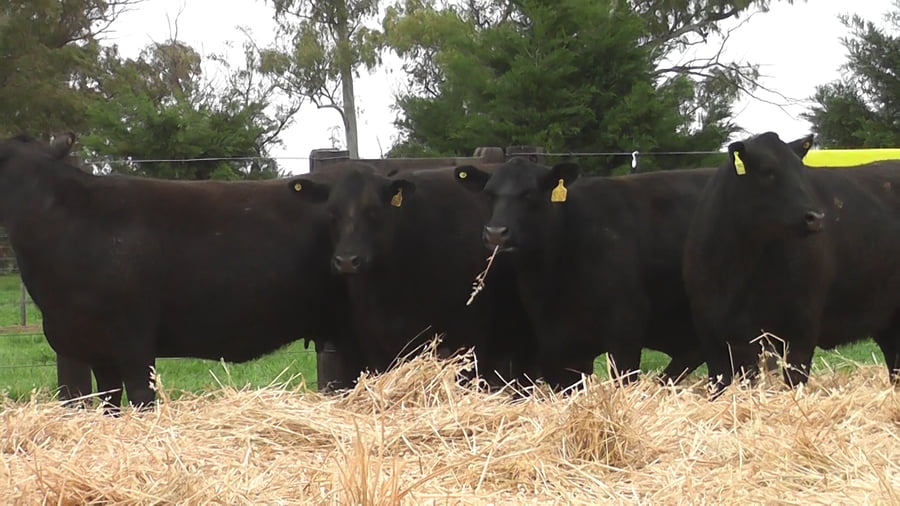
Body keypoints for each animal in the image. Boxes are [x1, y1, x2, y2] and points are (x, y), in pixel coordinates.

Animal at [683, 131, 900, 397]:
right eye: (767, 171)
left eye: (801, 170)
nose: (816, 217)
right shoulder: (712, 330)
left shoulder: (801, 324)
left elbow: (794, 378)